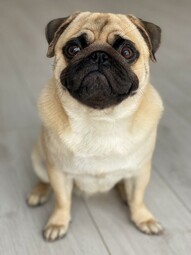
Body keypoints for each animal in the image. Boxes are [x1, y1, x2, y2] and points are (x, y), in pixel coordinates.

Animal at [27, 11, 164, 241]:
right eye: (73, 49)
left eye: (127, 52)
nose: (99, 56)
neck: (101, 118)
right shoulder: (59, 172)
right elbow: (62, 201)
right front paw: (58, 222)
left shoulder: (140, 171)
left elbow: (138, 197)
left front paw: (143, 218)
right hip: (39, 157)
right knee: (44, 180)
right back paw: (39, 192)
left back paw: (124, 195)